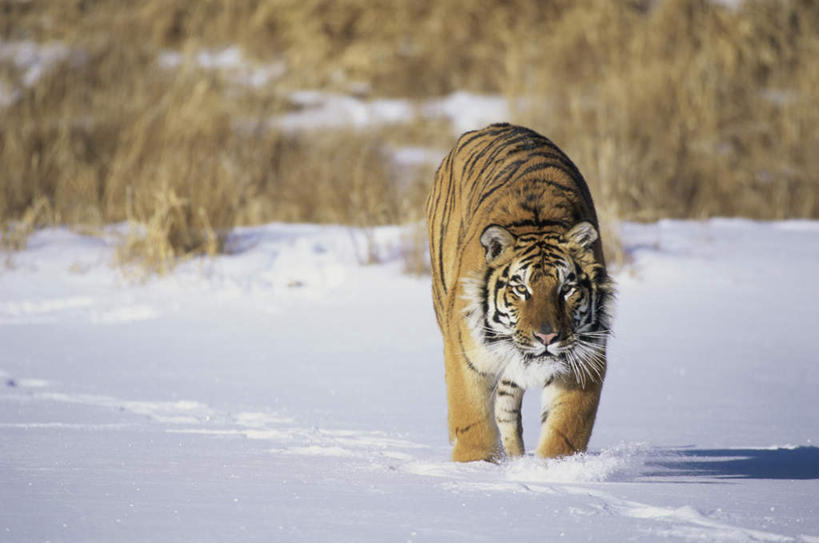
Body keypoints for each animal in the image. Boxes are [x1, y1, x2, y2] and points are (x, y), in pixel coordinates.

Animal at [426, 122, 612, 464]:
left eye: (566, 288)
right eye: (521, 289)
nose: (547, 337)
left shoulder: (585, 360)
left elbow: (565, 431)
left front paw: (552, 470)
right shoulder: (466, 355)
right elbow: (472, 421)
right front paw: (474, 465)